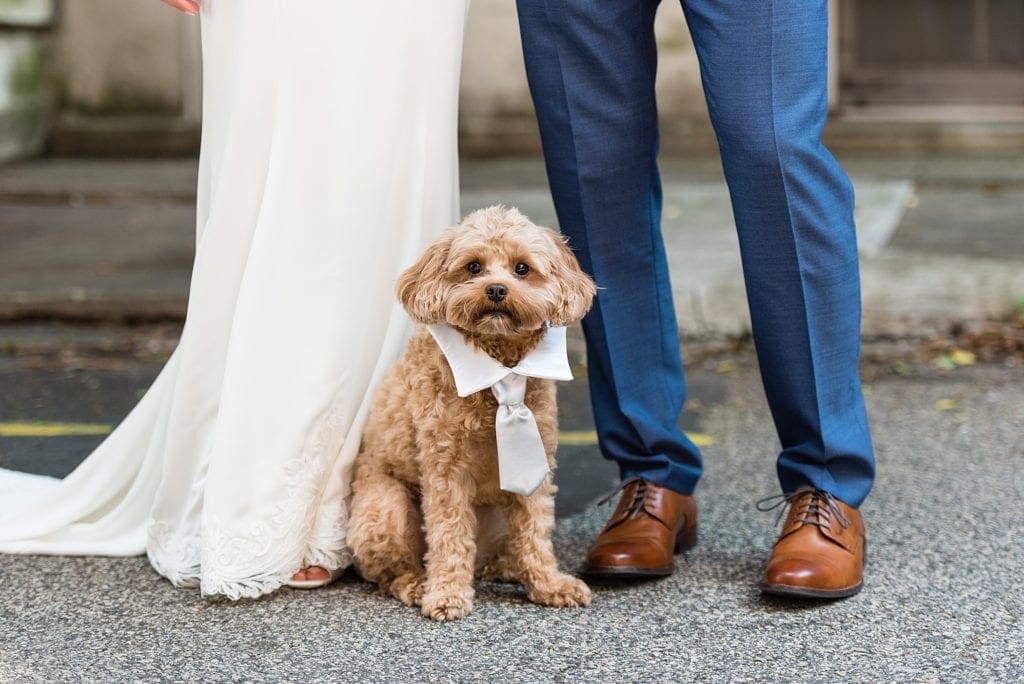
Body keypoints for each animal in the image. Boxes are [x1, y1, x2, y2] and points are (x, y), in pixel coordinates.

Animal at [348, 202, 598, 618]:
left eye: (521, 268)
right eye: (474, 267)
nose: (496, 290)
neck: (499, 366)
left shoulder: (537, 465)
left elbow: (536, 531)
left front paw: (549, 584)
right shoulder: (446, 470)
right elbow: (449, 535)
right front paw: (447, 594)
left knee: (497, 554)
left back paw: (509, 569)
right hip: (383, 509)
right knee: (391, 572)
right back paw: (418, 584)